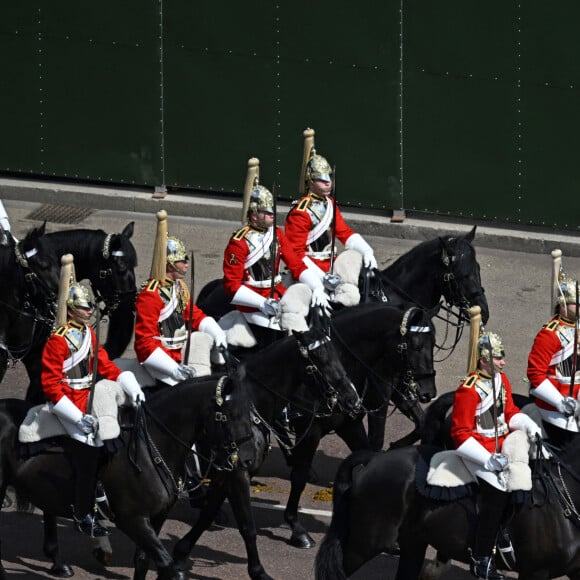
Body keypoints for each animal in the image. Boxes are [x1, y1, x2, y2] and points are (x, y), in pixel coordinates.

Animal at [0, 372, 256, 580]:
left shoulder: (156, 517)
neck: (149, 448)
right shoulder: (131, 519)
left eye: (251, 412)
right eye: (231, 415)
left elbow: (143, 561)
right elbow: (169, 566)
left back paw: (58, 563)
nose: (249, 460)